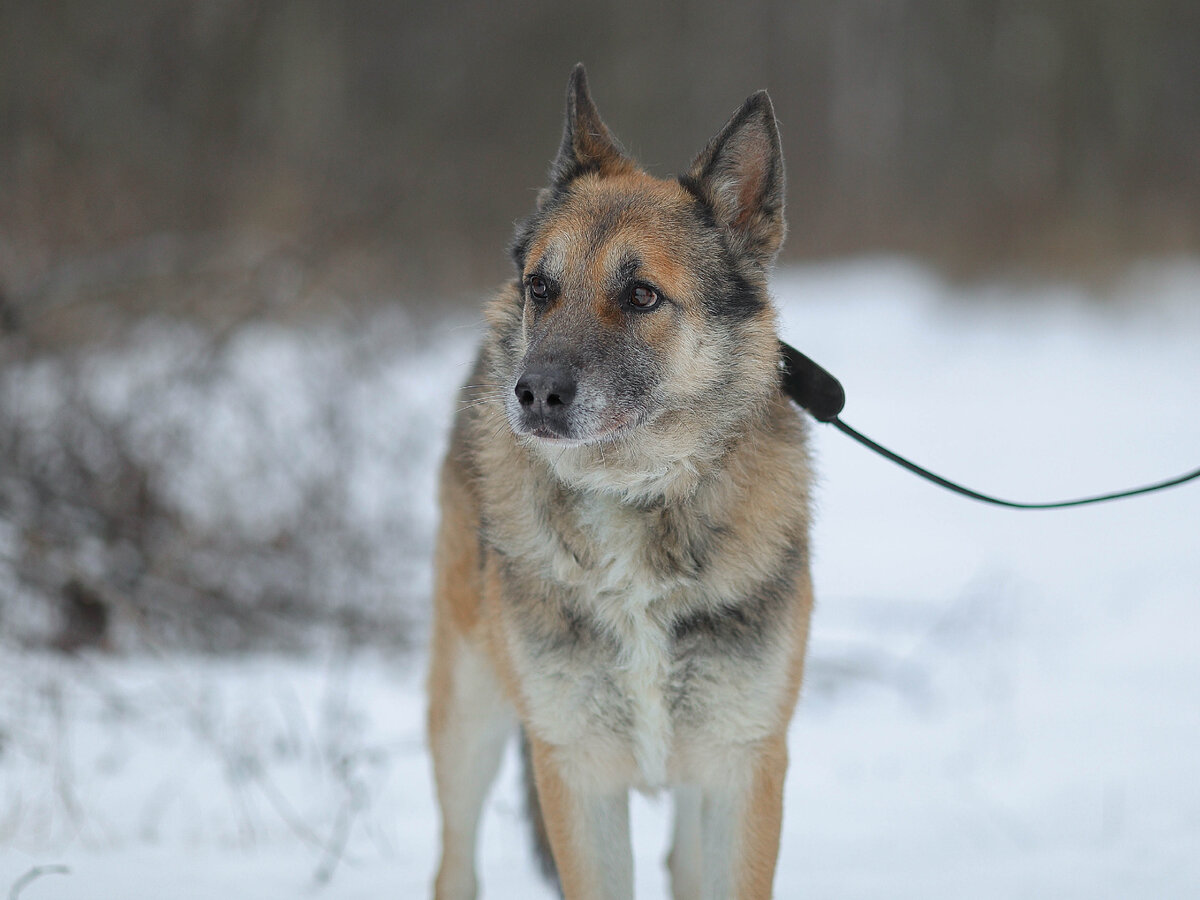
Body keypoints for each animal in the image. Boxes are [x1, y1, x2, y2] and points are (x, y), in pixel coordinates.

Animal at [432, 65, 816, 900]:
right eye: (542, 288)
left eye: (642, 295)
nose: (533, 393)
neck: (635, 499)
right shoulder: (576, 775)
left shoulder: (741, 769)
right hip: (467, 713)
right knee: (453, 864)